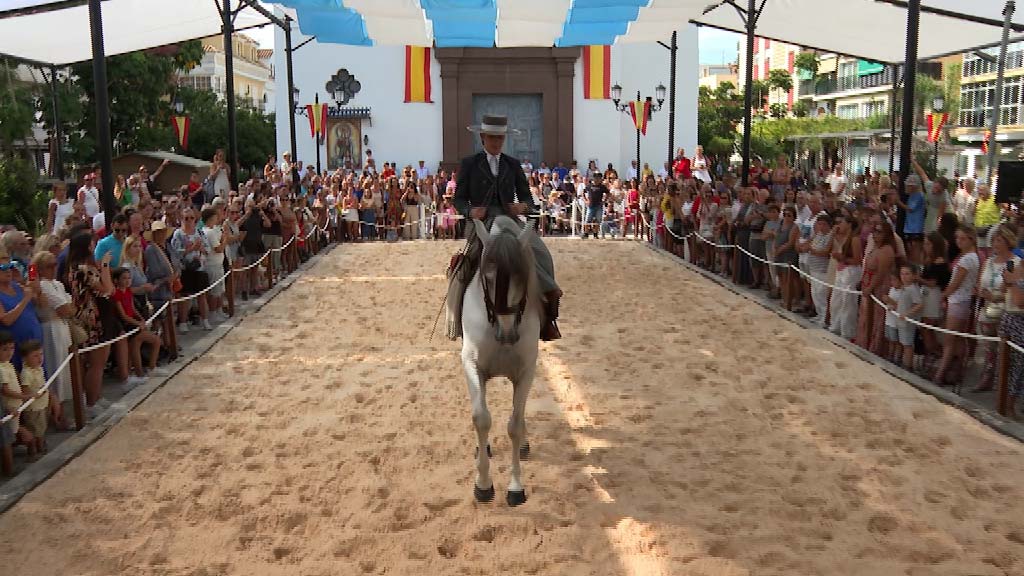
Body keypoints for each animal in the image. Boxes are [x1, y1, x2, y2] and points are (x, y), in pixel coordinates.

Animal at [462, 214, 544, 502]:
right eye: (487, 279)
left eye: (522, 277)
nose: (507, 334)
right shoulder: (472, 365)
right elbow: (481, 418)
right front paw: (483, 485)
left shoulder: (526, 372)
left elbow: (515, 425)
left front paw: (516, 487)